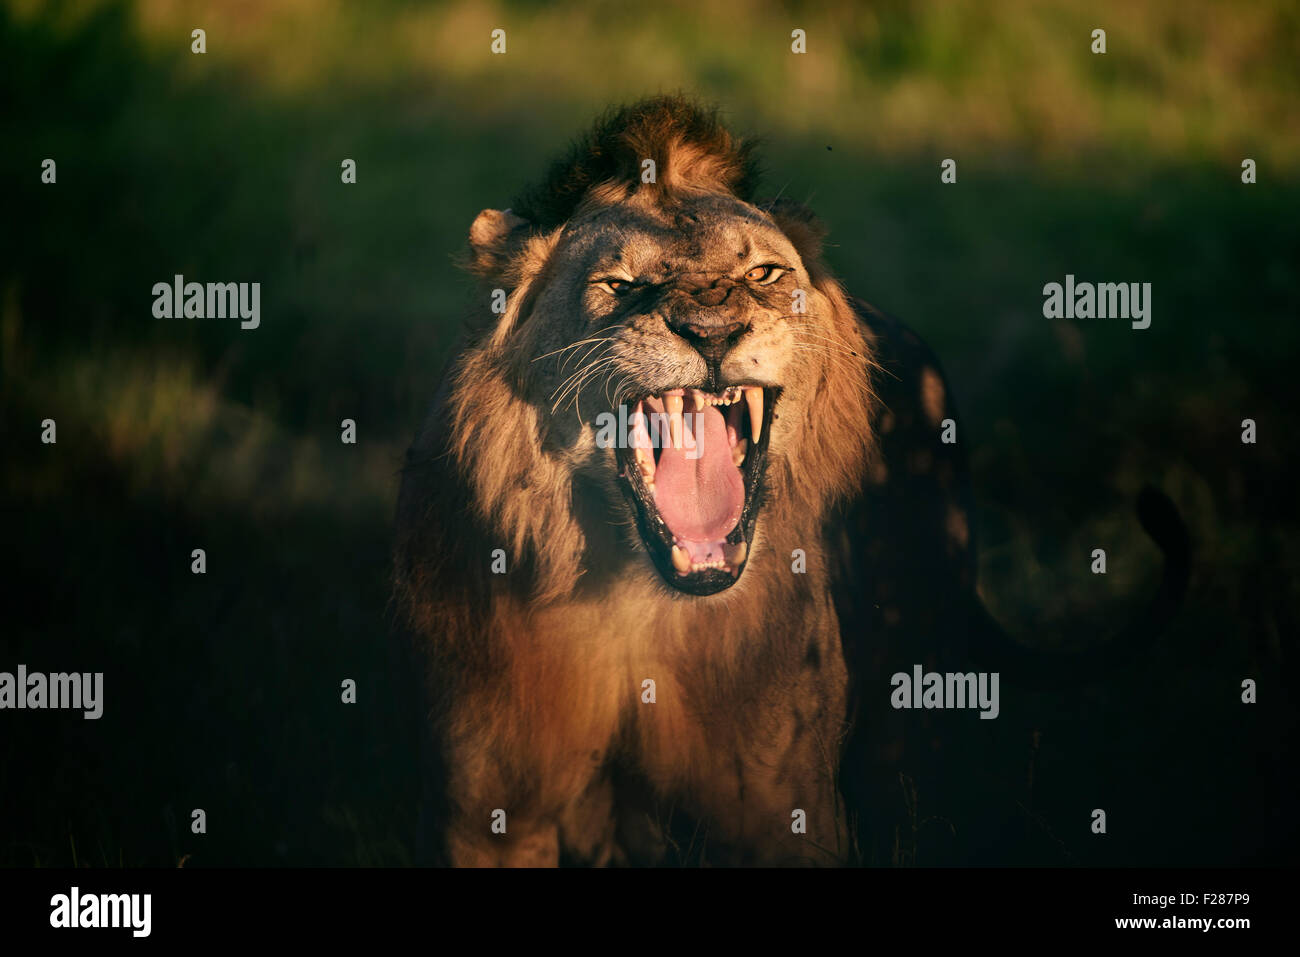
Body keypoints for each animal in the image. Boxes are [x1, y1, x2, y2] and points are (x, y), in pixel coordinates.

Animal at [387, 97, 1190, 868]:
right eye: (621, 284)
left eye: (764, 275)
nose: (711, 331)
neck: (635, 609)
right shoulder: (483, 820)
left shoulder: (781, 819)